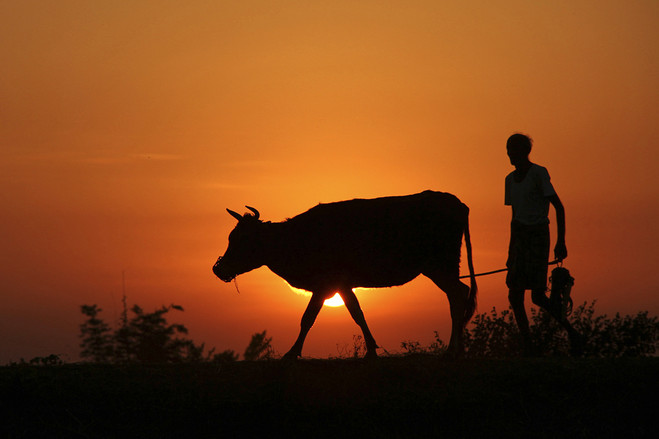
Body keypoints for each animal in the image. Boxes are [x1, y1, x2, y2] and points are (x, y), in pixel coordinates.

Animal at [214, 191, 476, 360]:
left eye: (243, 239)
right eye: (230, 237)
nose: (218, 269)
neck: (294, 238)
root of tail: (458, 203)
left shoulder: (326, 284)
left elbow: (307, 318)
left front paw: (292, 352)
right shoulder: (342, 285)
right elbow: (356, 312)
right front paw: (371, 350)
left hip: (440, 265)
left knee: (458, 295)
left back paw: (453, 350)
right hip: (442, 268)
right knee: (460, 294)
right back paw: (458, 349)